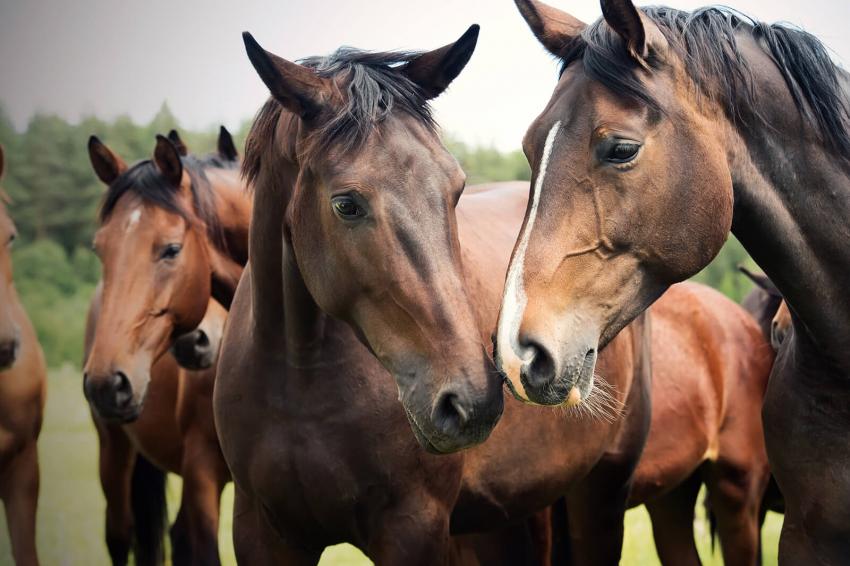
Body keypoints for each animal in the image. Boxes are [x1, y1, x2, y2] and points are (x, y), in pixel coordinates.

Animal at [82, 128, 250, 565]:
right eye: (100, 250)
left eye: (172, 249)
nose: (106, 383)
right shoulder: (201, 471)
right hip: (113, 450)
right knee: (121, 534)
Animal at [215, 28, 656, 565]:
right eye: (346, 204)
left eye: (456, 188)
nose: (472, 402)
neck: (300, 384)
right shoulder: (263, 534)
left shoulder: (413, 528)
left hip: (601, 493)